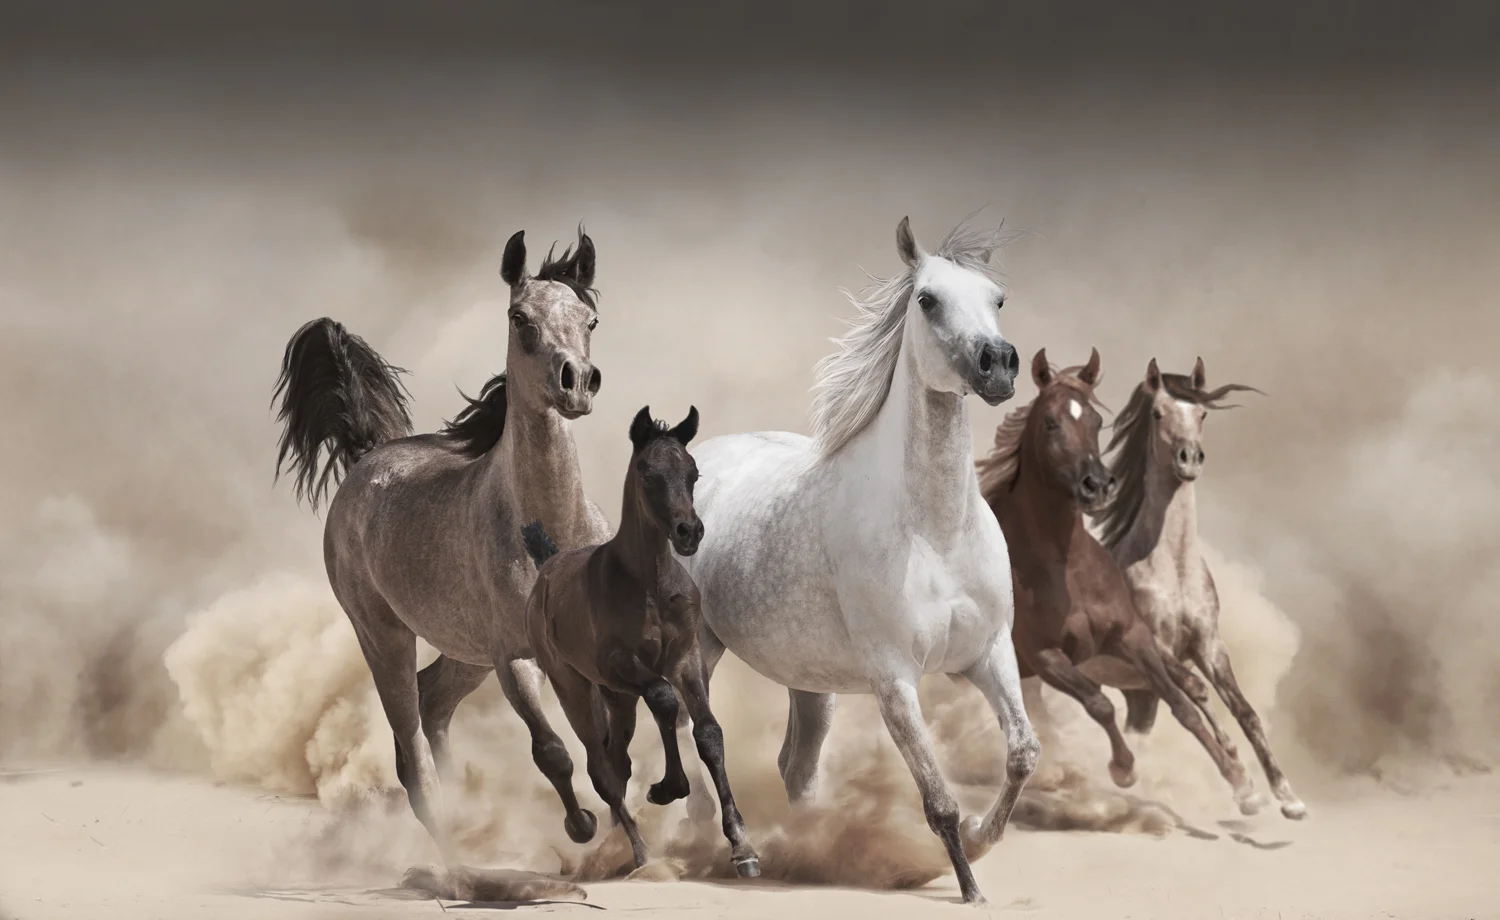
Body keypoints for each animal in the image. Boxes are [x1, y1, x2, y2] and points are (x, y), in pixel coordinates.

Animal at [272, 227, 610, 862]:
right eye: (520, 317)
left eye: (590, 319)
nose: (576, 382)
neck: (551, 534)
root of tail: (368, 457)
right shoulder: (515, 658)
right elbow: (553, 750)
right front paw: (583, 827)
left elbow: (605, 744)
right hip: (385, 637)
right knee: (412, 751)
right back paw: (455, 850)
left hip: (463, 651)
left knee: (433, 703)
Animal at [520, 405, 762, 878]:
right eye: (648, 473)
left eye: (693, 472)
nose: (689, 531)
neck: (649, 584)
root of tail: (548, 565)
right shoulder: (619, 663)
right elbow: (665, 699)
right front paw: (668, 788)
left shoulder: (687, 657)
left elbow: (708, 733)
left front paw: (743, 846)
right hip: (575, 685)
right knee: (600, 768)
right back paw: (639, 852)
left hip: (618, 699)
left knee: (618, 759)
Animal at [677, 216, 1037, 906]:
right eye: (927, 299)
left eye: (999, 298)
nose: (998, 365)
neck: (935, 532)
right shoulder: (894, 678)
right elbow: (938, 800)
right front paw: (970, 887)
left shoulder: (989, 652)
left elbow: (1022, 754)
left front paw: (984, 839)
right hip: (699, 649)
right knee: (695, 736)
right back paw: (727, 847)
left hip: (810, 681)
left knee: (797, 768)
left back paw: (807, 851)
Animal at [976, 347, 1263, 816]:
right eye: (1050, 422)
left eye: (1096, 421)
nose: (1097, 485)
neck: (1066, 567)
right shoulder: (1047, 656)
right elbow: (1099, 703)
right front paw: (1123, 768)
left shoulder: (1135, 637)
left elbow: (1183, 703)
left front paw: (1242, 782)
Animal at [1093, 357, 1305, 819]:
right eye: (1157, 413)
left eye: (1203, 413)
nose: (1189, 459)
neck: (1172, 570)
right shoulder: (1156, 646)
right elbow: (1197, 692)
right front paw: (1243, 784)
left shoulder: (1209, 644)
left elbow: (1245, 710)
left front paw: (1287, 796)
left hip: (1138, 693)